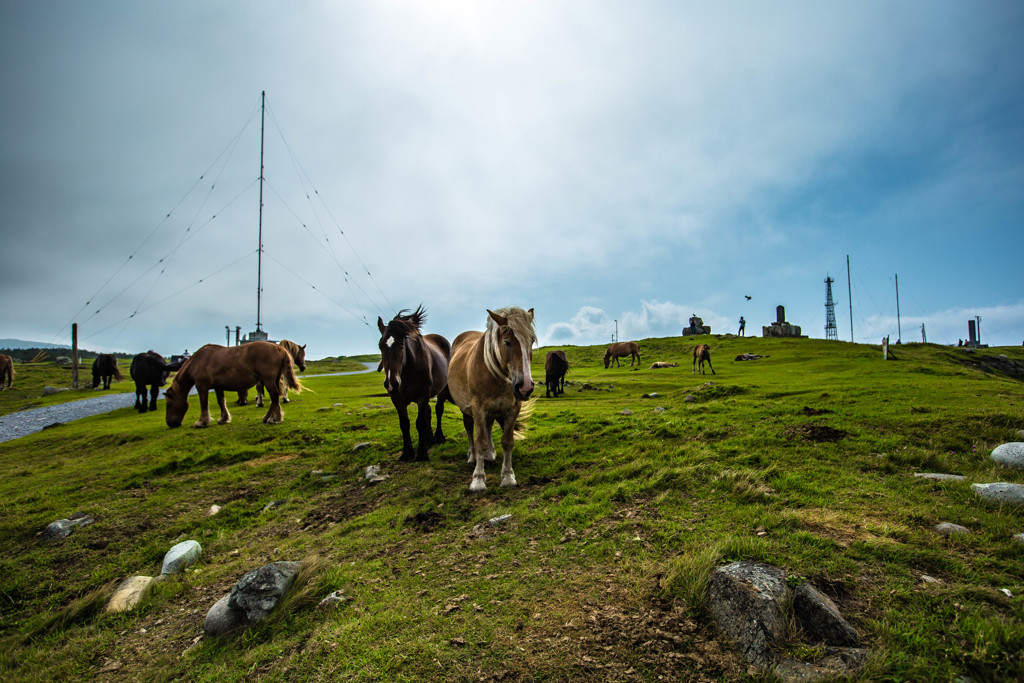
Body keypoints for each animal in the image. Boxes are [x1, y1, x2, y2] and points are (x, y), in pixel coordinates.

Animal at [165, 342, 301, 428]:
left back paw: (272, 418)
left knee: (274, 396)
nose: (170, 423)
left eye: (168, 404)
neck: (198, 361)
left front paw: (202, 422)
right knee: (276, 398)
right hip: (275, 379)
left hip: (268, 380)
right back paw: (272, 417)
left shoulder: (201, 385)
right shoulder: (218, 387)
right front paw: (223, 418)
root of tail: (279, 348)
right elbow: (221, 401)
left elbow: (204, 403)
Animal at [378, 307, 450, 462]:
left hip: (442, 390)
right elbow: (404, 424)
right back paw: (429, 440)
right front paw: (407, 453)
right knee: (429, 412)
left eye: (401, 345)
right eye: (380, 346)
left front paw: (422, 454)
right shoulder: (397, 399)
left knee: (438, 409)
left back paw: (438, 437)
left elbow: (420, 423)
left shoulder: (422, 396)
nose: (392, 383)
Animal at [452, 309, 540, 491]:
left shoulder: (513, 408)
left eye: (532, 340)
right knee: (470, 429)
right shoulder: (478, 409)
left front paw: (508, 477)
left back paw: (490, 454)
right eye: (506, 342)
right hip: (466, 409)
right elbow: (480, 441)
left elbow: (507, 441)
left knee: (489, 427)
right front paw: (478, 480)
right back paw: (473, 457)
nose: (525, 387)